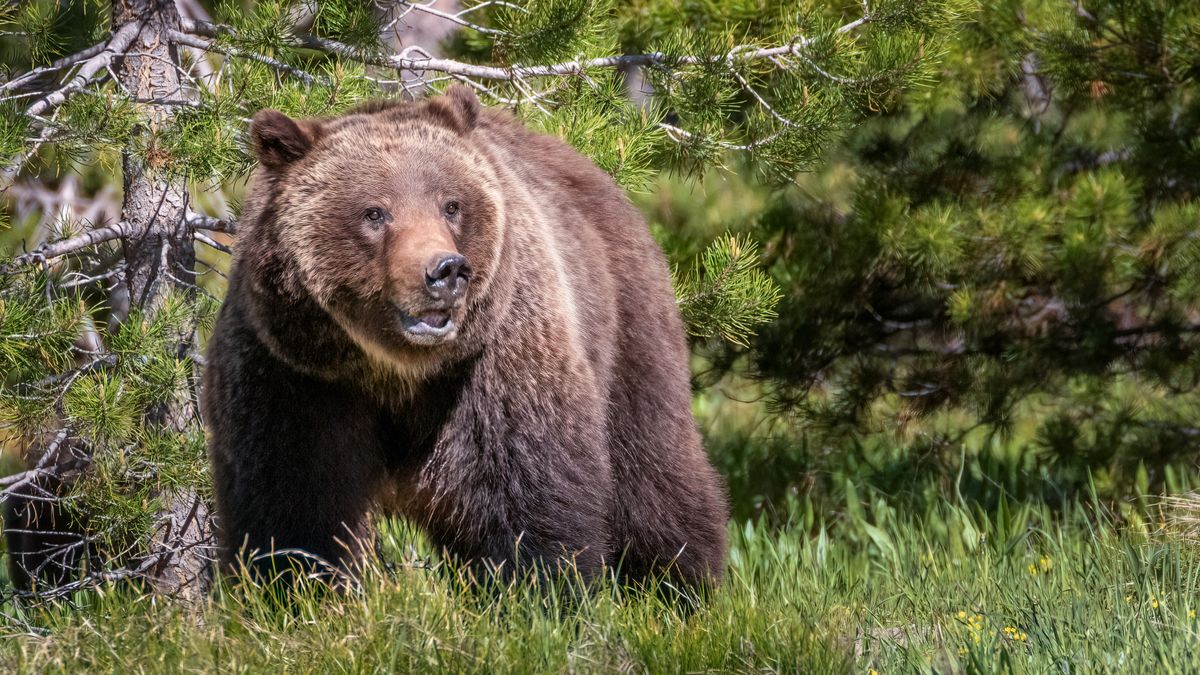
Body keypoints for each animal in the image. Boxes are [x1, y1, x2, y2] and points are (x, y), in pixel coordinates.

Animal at [201, 86, 724, 586]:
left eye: (451, 205)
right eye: (375, 213)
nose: (445, 270)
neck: (393, 370)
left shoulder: (497, 362)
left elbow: (525, 495)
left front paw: (538, 590)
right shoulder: (293, 370)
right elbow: (292, 505)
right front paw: (293, 586)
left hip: (626, 322)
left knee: (652, 473)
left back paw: (679, 585)